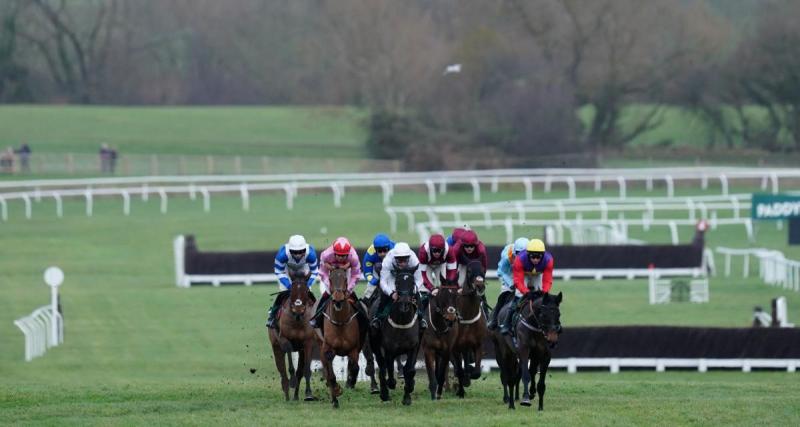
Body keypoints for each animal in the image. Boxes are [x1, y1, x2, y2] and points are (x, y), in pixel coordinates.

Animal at [270, 272, 318, 402]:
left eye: (306, 290)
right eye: (292, 290)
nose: (298, 309)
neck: (297, 320)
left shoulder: (308, 343)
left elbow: (306, 369)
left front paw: (309, 393)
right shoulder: (284, 339)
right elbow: (288, 352)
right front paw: (292, 381)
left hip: (301, 351)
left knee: (300, 371)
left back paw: (295, 396)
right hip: (276, 346)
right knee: (282, 370)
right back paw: (287, 394)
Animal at [316, 270, 366, 410]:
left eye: (345, 278)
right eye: (330, 279)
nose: (338, 299)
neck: (340, 323)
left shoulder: (354, 350)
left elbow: (354, 367)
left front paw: (349, 383)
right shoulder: (328, 349)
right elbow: (331, 375)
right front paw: (336, 395)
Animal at [370, 270, 422, 406]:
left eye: (412, 283)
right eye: (397, 283)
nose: (404, 304)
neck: (402, 323)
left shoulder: (414, 347)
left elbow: (410, 370)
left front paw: (407, 395)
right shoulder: (388, 350)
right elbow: (388, 369)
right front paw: (391, 385)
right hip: (375, 345)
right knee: (382, 367)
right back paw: (384, 393)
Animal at [450, 260, 488, 398]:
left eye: (483, 270)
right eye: (469, 270)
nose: (480, 286)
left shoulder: (478, 344)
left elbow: (476, 372)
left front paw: (470, 375)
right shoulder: (455, 348)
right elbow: (459, 370)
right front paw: (461, 390)